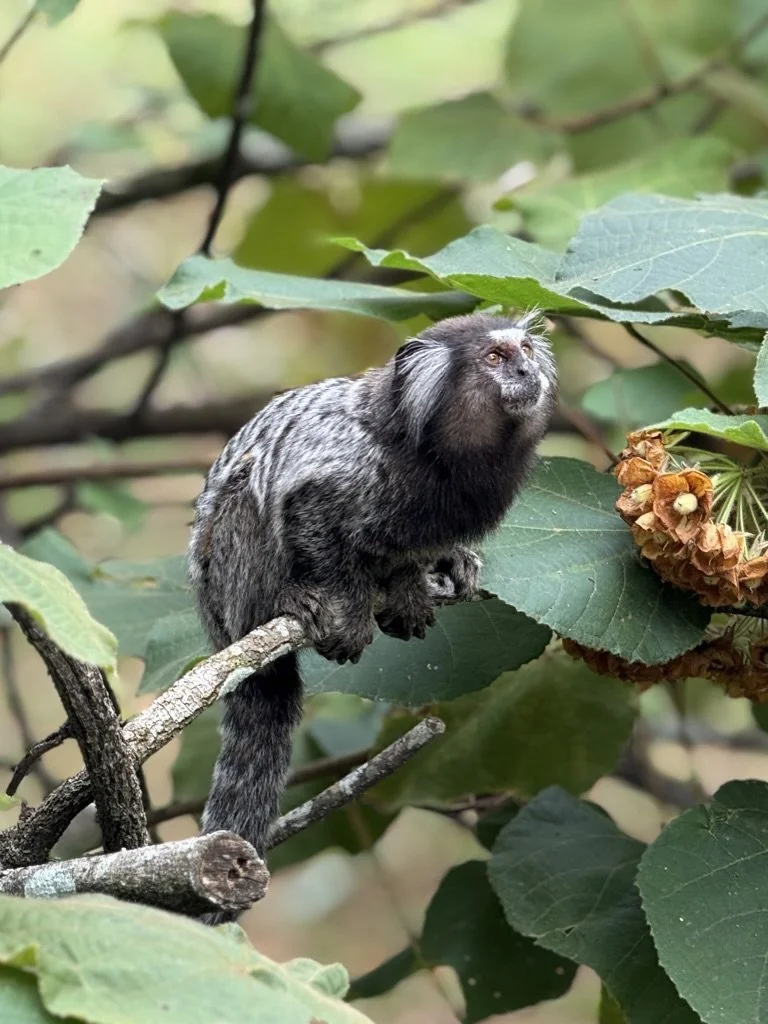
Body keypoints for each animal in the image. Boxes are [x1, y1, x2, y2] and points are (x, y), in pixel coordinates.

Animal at [187, 309, 558, 922]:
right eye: (495, 359)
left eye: (524, 350)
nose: (528, 372)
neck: (436, 458)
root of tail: (217, 625)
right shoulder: (341, 472)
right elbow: (309, 515)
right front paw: (350, 604)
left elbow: (411, 553)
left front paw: (414, 581)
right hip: (229, 578)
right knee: (249, 497)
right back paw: (288, 603)